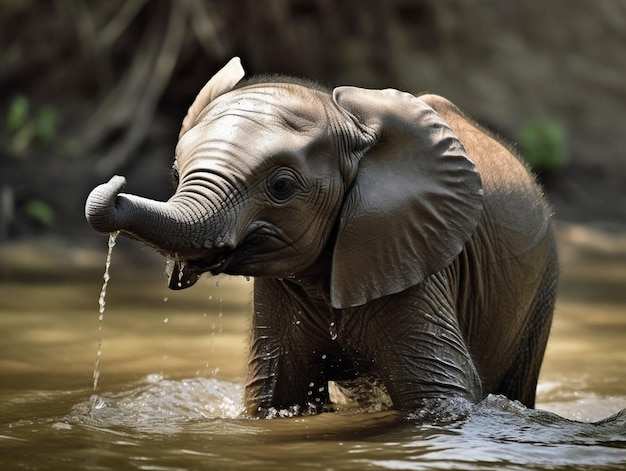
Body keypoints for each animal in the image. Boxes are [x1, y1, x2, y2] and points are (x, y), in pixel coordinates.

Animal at [86, 57, 556, 418]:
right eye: (176, 173)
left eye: (281, 186)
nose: (115, 179)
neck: (354, 130)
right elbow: (274, 398)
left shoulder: (414, 259)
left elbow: (442, 395)